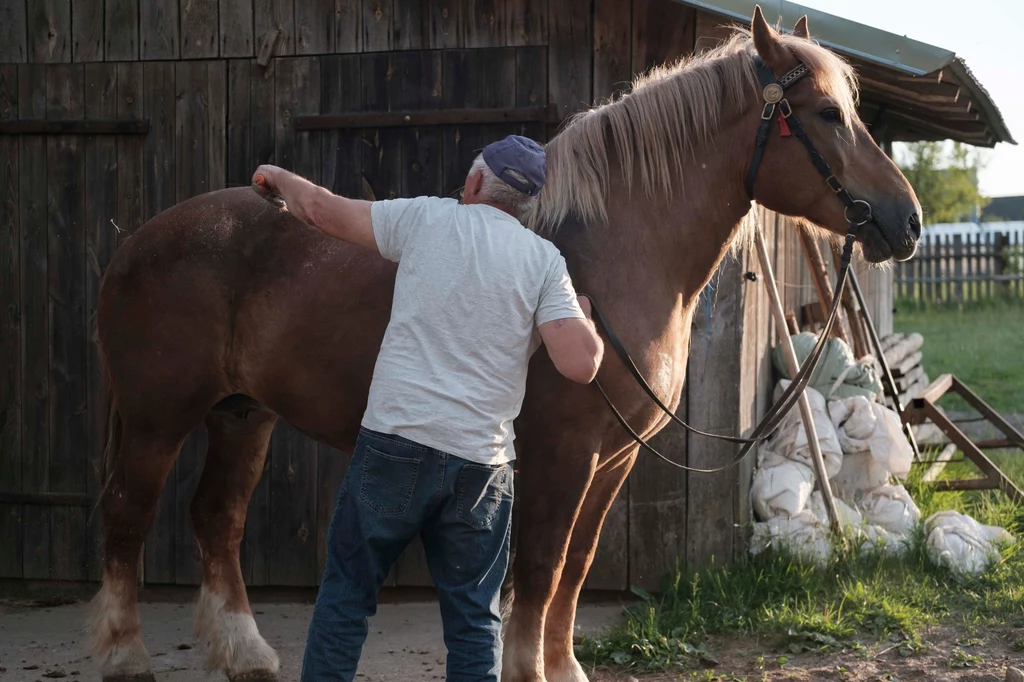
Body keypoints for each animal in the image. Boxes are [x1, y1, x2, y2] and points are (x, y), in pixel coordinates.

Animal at [88, 9, 921, 679]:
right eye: (826, 113)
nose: (906, 221)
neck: (603, 260)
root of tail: (139, 239)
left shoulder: (612, 459)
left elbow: (576, 568)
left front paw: (565, 667)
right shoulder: (563, 453)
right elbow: (544, 568)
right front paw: (529, 668)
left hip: (241, 414)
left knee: (217, 520)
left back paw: (247, 653)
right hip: (159, 417)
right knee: (127, 518)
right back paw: (126, 656)